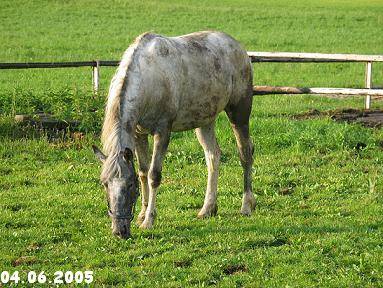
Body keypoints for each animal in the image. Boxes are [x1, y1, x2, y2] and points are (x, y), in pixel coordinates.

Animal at [91, 31, 256, 238]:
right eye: (105, 183)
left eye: (129, 185)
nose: (119, 231)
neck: (149, 79)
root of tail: (238, 46)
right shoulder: (138, 134)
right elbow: (143, 172)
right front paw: (142, 214)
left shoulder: (162, 131)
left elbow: (154, 175)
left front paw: (149, 220)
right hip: (204, 122)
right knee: (213, 157)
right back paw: (208, 208)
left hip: (239, 114)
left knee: (245, 154)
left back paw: (247, 206)